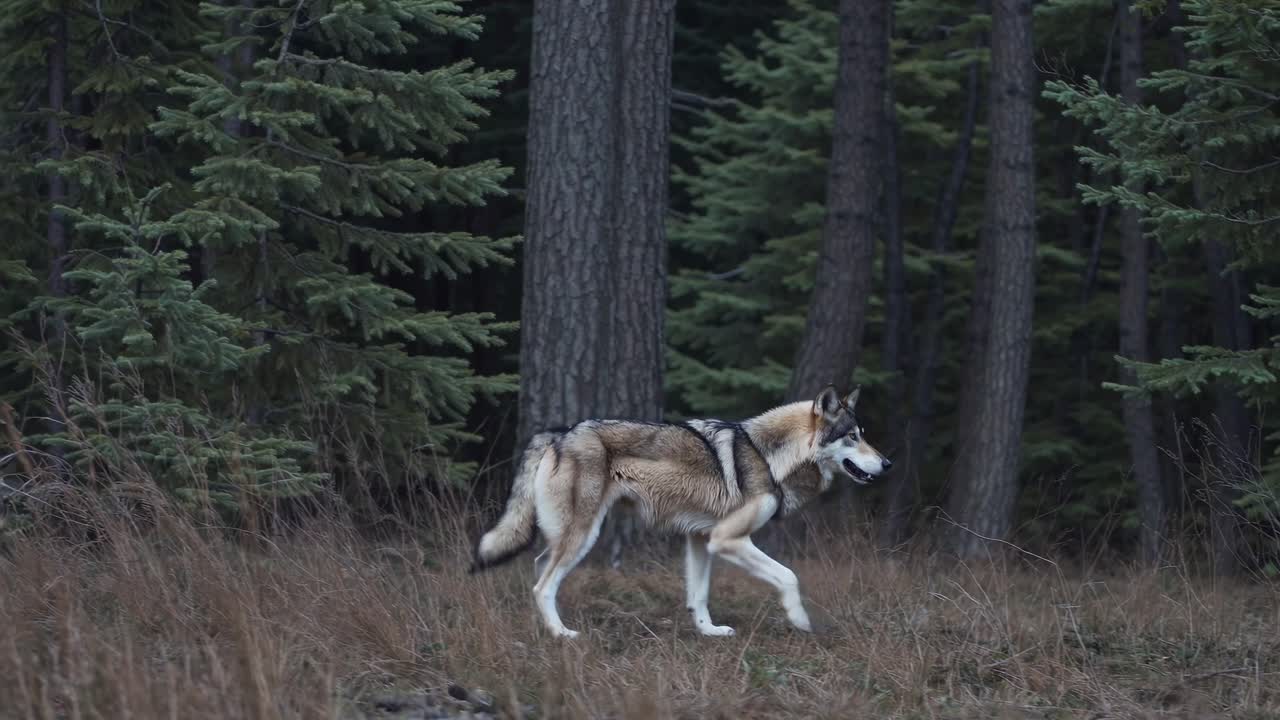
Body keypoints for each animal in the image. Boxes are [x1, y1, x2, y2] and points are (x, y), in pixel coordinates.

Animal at [470, 386, 890, 638]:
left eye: (864, 435)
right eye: (853, 437)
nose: (888, 463)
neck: (769, 457)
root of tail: (560, 432)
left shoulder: (702, 539)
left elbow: (699, 595)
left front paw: (709, 631)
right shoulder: (727, 539)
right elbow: (789, 576)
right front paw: (800, 620)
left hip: (570, 537)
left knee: (540, 571)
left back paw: (545, 627)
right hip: (583, 535)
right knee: (543, 584)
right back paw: (562, 634)